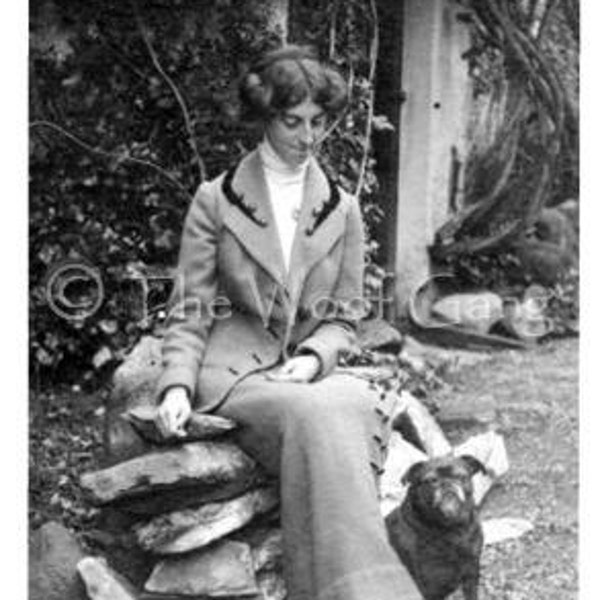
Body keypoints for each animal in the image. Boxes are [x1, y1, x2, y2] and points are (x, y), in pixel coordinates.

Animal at [384, 454, 488, 600]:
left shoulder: (471, 573)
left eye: (461, 476)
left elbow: (472, 595)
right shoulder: (427, 587)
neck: (451, 527)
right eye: (431, 480)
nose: (447, 483)